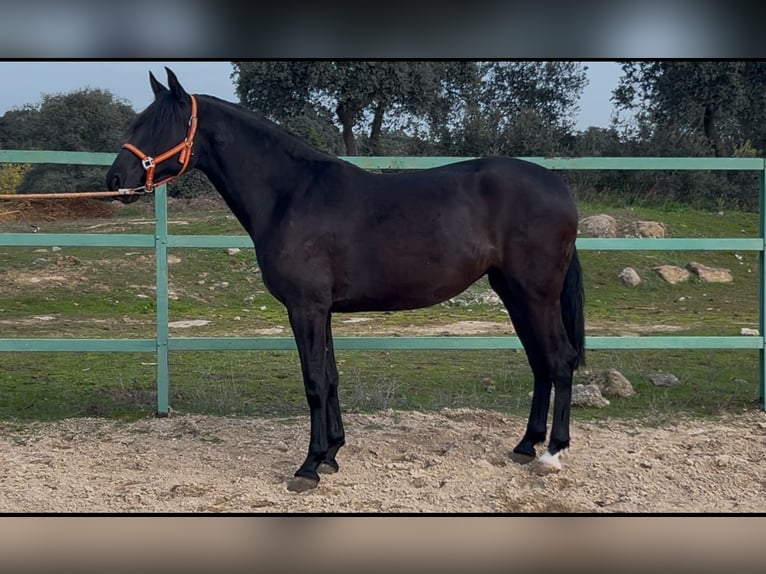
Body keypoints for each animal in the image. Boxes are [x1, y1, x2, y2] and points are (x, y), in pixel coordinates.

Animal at [106, 66, 588, 490]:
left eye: (158, 124)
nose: (115, 179)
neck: (291, 194)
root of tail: (559, 188)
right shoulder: (324, 310)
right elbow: (332, 378)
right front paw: (332, 454)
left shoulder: (305, 308)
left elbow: (314, 382)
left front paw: (308, 467)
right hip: (513, 292)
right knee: (540, 362)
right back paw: (526, 445)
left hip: (536, 294)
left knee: (560, 359)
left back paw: (551, 454)